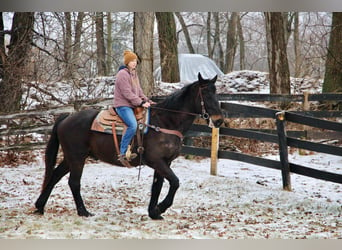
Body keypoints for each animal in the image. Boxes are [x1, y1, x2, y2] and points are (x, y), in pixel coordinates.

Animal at [34, 72, 224, 219]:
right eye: (206, 95)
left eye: (217, 94)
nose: (219, 120)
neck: (165, 122)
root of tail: (66, 118)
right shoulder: (156, 161)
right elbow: (175, 182)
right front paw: (160, 208)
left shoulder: (165, 162)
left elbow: (157, 186)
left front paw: (153, 212)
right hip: (77, 157)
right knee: (73, 182)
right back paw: (83, 211)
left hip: (71, 157)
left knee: (55, 176)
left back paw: (40, 206)